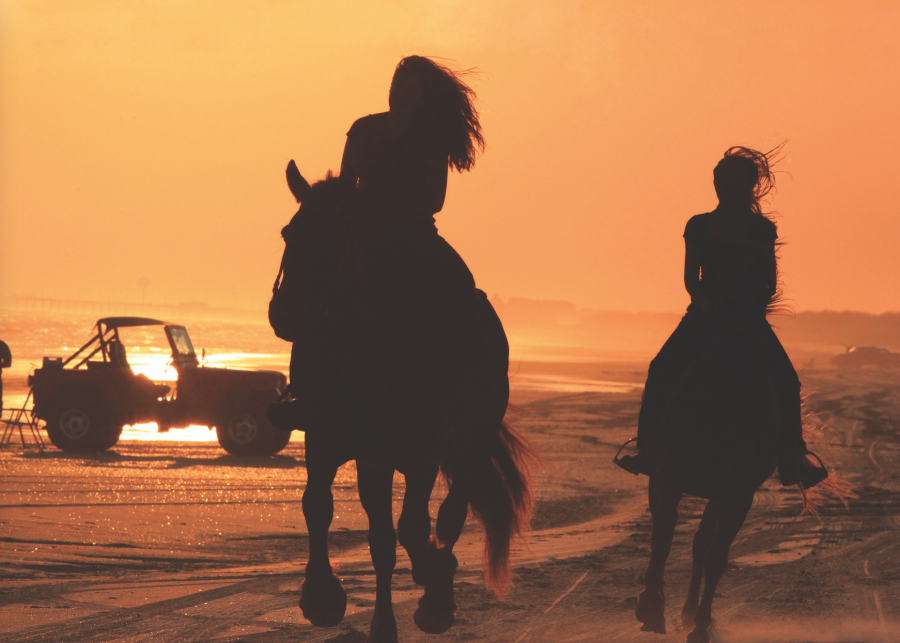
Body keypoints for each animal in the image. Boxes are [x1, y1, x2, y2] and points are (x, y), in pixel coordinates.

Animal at [270, 165, 532, 643]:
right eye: (288, 233)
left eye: (336, 237)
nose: (287, 314)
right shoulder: (331, 441)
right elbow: (324, 509)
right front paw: (323, 597)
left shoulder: (417, 452)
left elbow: (411, 528)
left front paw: (429, 585)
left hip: (467, 442)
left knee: (449, 514)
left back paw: (438, 591)